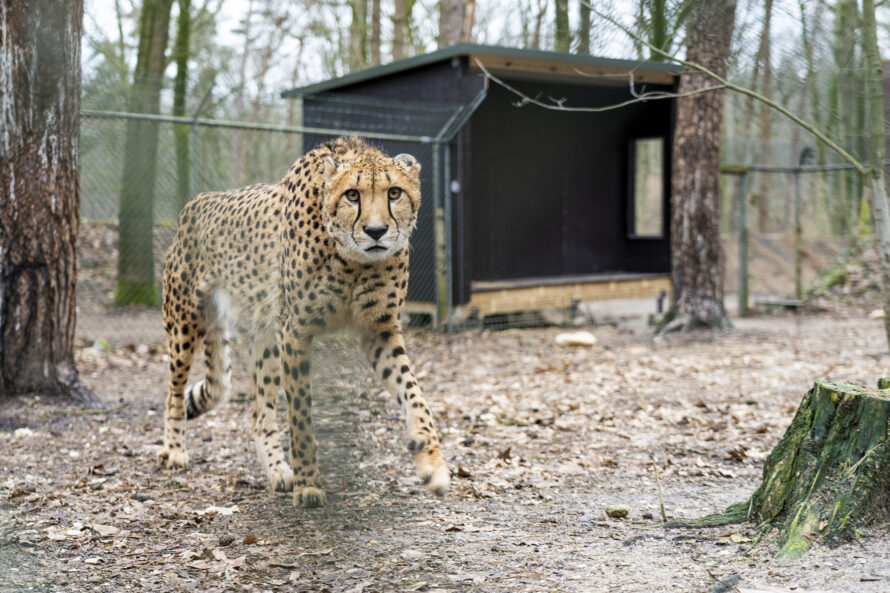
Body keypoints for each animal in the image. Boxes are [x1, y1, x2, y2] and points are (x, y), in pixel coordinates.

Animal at [156, 136, 448, 506]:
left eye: (394, 193)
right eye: (352, 195)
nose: (376, 231)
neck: (352, 260)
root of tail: (195, 203)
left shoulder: (379, 330)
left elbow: (415, 395)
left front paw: (432, 462)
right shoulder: (295, 332)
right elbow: (301, 415)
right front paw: (309, 483)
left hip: (264, 339)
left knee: (259, 413)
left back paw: (278, 471)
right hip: (184, 323)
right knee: (174, 392)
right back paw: (175, 450)